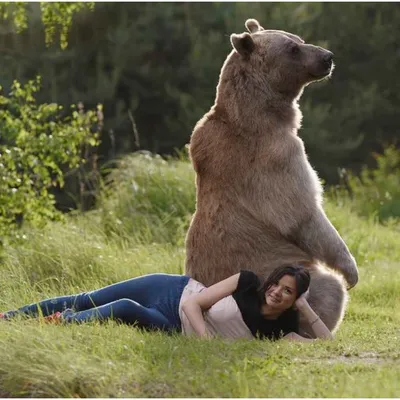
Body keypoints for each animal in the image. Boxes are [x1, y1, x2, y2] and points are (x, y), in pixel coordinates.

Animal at [185, 19, 360, 338]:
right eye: (293, 49)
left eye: (299, 39)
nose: (327, 57)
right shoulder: (276, 159)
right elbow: (304, 212)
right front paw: (351, 270)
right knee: (328, 289)